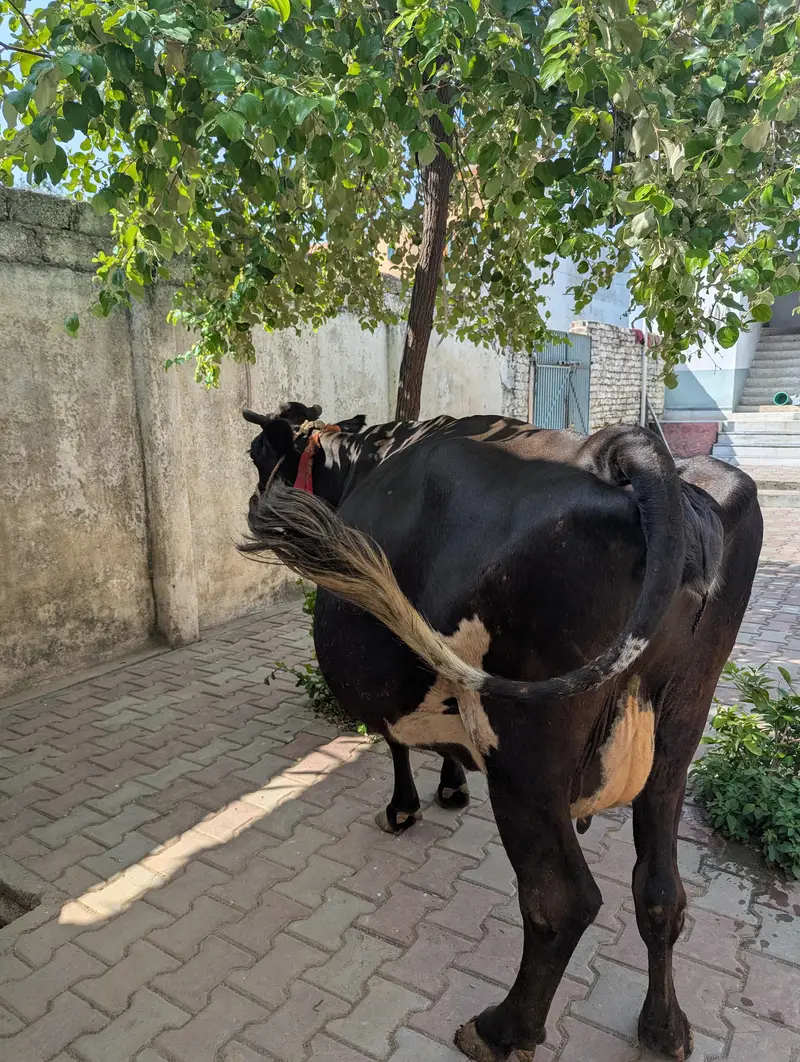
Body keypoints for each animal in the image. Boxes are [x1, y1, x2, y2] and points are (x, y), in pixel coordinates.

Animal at [240, 401, 762, 1062]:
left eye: (258, 453)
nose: (254, 502)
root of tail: (623, 451)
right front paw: (451, 785)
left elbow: (393, 740)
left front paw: (405, 807)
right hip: (679, 735)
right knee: (661, 889)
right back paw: (665, 1027)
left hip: (523, 754)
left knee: (561, 899)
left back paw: (501, 1030)